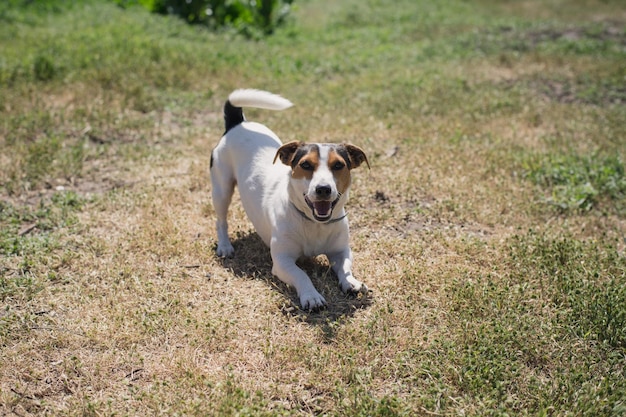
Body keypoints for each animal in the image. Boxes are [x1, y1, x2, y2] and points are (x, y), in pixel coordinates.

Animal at [210, 88, 368, 308]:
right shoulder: (282, 261)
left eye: (338, 165)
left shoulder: (340, 251)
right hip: (221, 188)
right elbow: (301, 274)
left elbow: (345, 267)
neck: (313, 223)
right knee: (221, 220)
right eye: (306, 165)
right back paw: (225, 246)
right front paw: (311, 296)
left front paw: (351, 282)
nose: (323, 189)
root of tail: (238, 123)